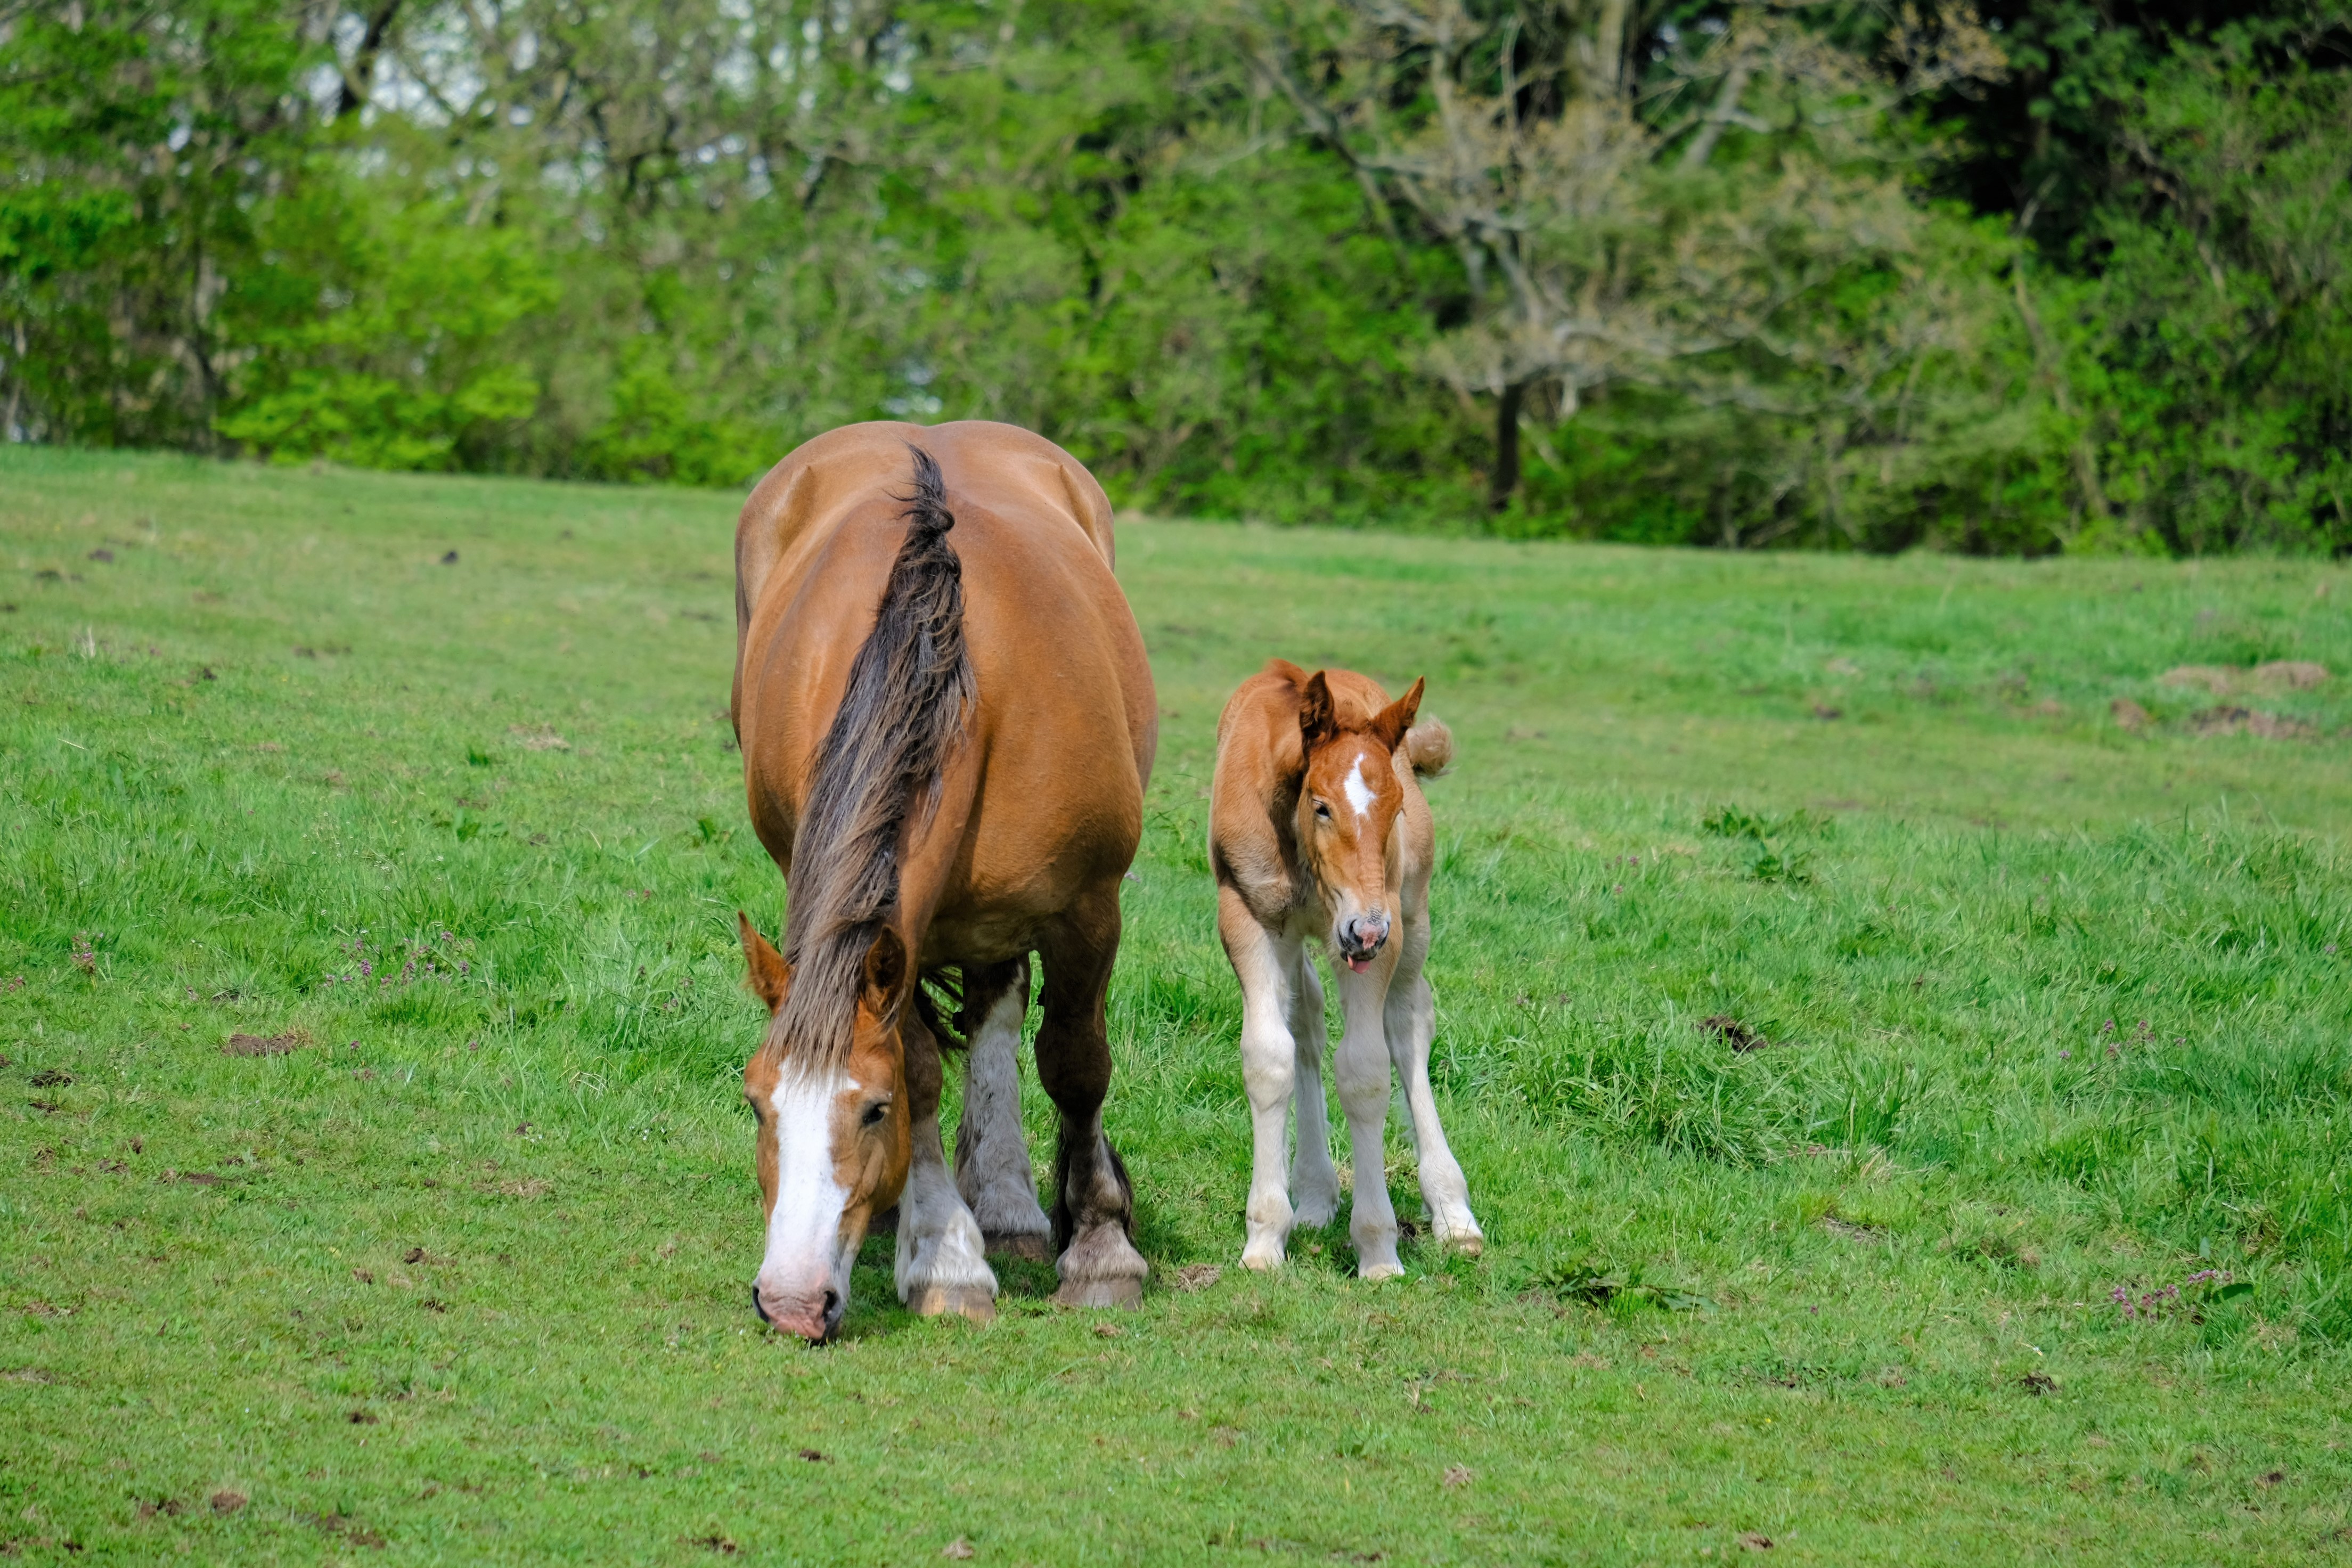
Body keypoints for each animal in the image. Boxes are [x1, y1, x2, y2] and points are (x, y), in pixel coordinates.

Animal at [731, 420, 1156, 1342]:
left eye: (871, 1110)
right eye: (757, 1105)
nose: (791, 1303)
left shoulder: (1089, 910)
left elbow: (1077, 1064)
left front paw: (1100, 1250)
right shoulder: (894, 941)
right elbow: (925, 1064)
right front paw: (944, 1258)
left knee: (1004, 1014)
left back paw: (1011, 1207)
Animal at [1207, 661, 1483, 1277]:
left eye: (1396, 806)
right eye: (1322, 805)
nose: (1367, 930)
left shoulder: (1379, 932)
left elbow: (1366, 1071)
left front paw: (1378, 1247)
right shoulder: (1249, 917)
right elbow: (1270, 1058)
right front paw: (1265, 1237)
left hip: (1408, 917)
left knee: (1409, 1025)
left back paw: (1453, 1211)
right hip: (1313, 938)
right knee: (1307, 1024)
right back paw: (1312, 1197)